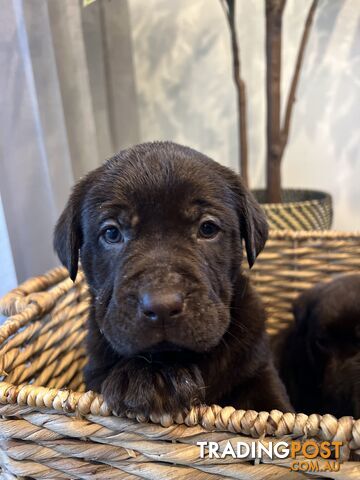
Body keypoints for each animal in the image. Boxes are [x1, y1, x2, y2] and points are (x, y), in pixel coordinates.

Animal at [54, 141, 292, 414]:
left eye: (207, 228)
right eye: (112, 233)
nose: (162, 306)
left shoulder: (259, 373)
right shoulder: (94, 373)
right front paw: (147, 374)